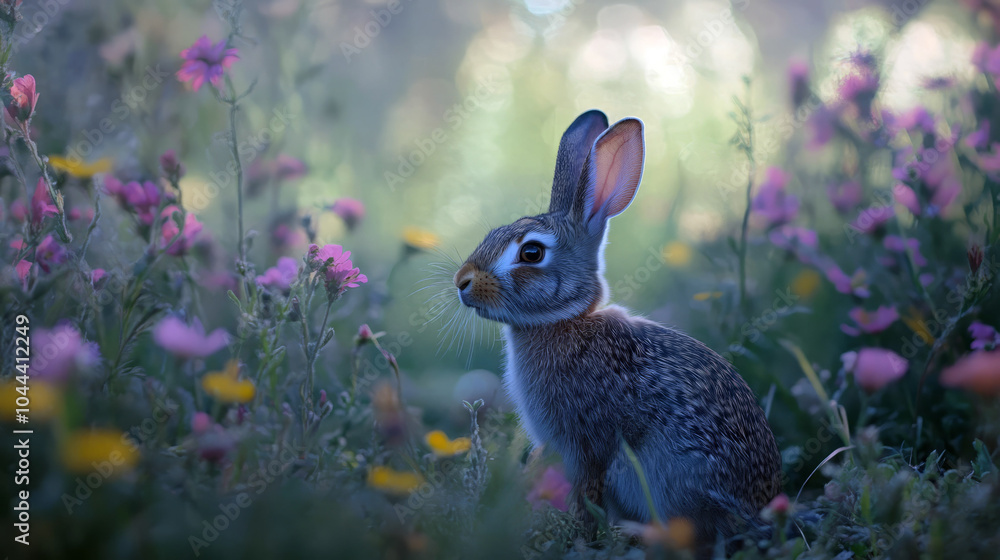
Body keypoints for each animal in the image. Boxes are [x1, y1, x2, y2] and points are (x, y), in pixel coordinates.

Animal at [452, 110, 783, 552]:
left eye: (531, 253)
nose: (462, 281)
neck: (564, 320)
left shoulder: (586, 447)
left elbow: (586, 497)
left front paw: (581, 540)